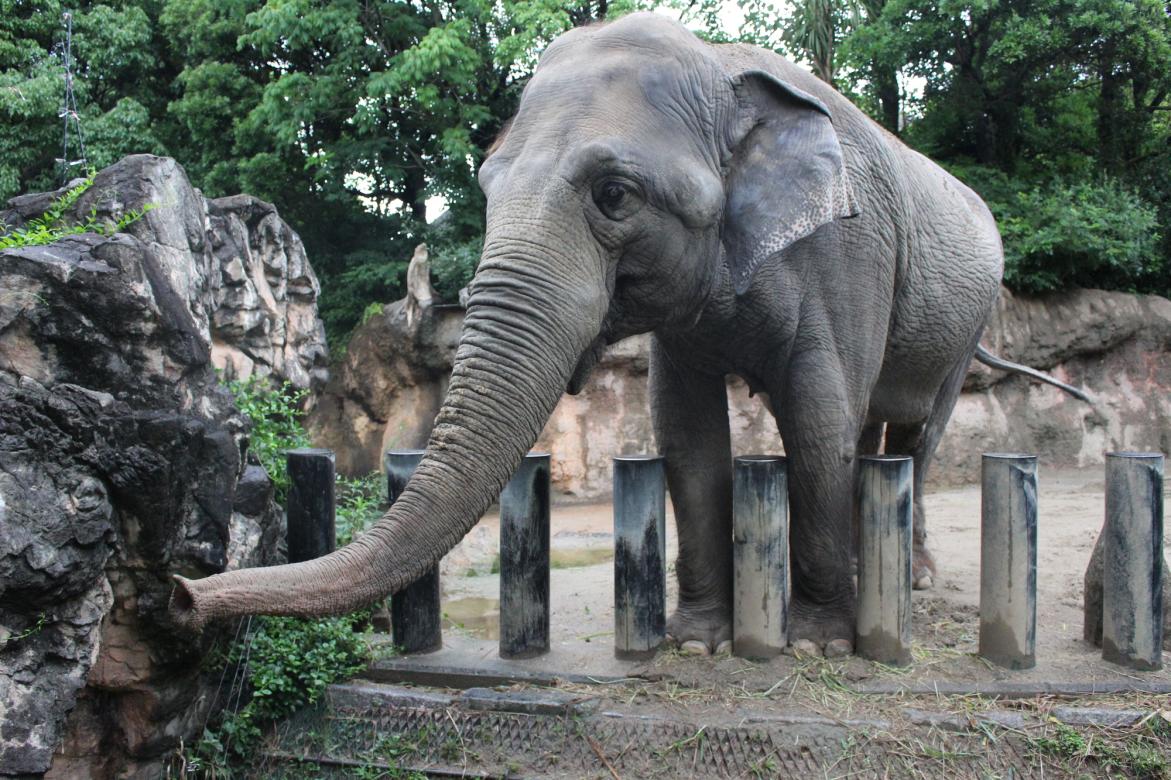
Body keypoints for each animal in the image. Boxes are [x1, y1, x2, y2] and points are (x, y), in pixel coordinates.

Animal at [170, 15, 1086, 651]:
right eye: (487, 185)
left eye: (614, 194)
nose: (180, 595)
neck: (722, 68)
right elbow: (684, 432)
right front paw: (699, 642)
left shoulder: (847, 255)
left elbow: (816, 419)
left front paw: (818, 645)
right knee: (876, 436)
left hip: (967, 316)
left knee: (909, 435)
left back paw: (914, 580)